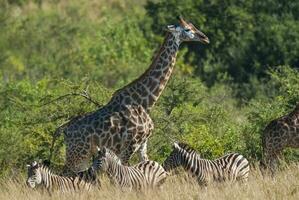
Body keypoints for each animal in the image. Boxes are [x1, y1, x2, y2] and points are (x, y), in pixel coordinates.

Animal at [57, 16, 210, 173]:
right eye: (188, 29)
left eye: (193, 26)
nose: (205, 38)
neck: (146, 103)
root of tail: (64, 130)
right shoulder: (130, 145)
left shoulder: (143, 145)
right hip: (78, 156)